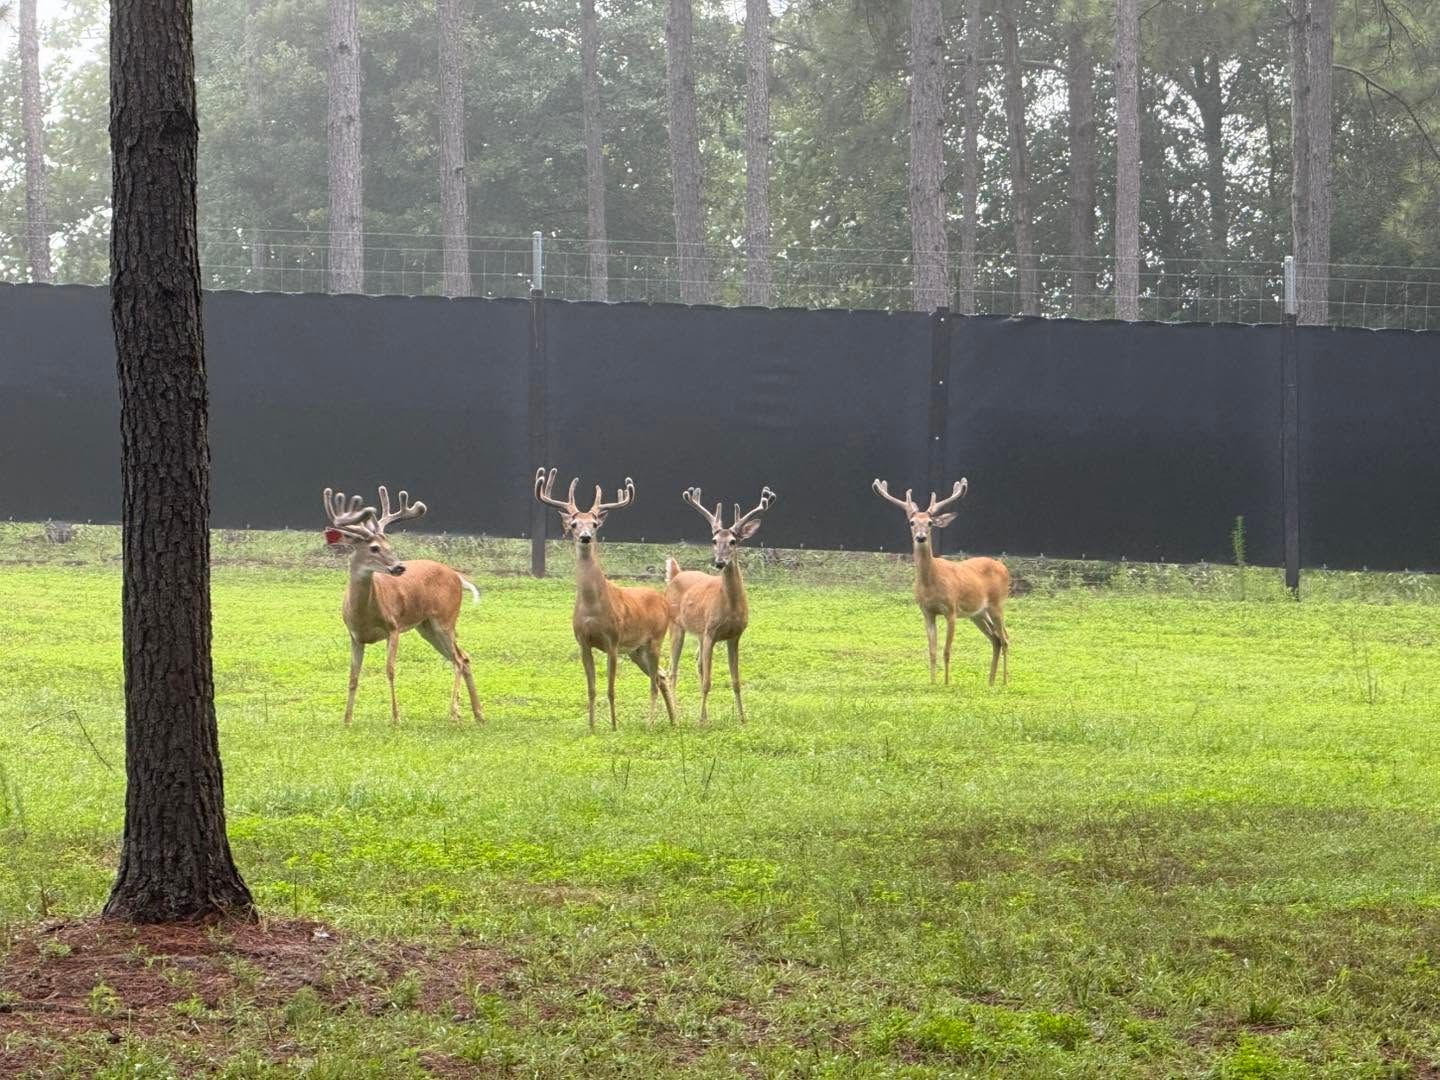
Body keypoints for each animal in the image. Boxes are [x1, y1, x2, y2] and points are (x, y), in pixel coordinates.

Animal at [323, 485, 484, 726]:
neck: (364, 613)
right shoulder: (355, 636)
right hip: (426, 627)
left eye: (390, 545)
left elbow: (390, 669)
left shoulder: (394, 627)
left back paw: (454, 713)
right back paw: (479, 714)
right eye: (374, 548)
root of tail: (457, 576)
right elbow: (353, 676)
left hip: (445, 619)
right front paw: (347, 720)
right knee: (463, 657)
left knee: (457, 660)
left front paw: (396, 718)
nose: (399, 567)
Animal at [534, 468, 678, 731]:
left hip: (656, 638)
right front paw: (591, 726)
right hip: (636, 650)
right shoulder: (583, 641)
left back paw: (651, 722)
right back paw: (674, 720)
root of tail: (662, 598)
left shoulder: (613, 640)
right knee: (661, 676)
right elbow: (591, 688)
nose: (585, 537)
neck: (593, 607)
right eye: (574, 524)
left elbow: (611, 689)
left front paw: (613, 726)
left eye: (594, 524)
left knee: (654, 681)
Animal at [664, 486, 776, 724]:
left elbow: (736, 681)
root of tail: (676, 574)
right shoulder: (711, 633)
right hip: (676, 625)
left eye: (733, 541)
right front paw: (700, 721)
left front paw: (742, 719)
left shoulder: (735, 636)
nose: (719, 562)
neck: (730, 608)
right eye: (714, 540)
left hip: (698, 632)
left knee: (697, 664)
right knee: (672, 670)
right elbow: (708, 681)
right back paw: (677, 714)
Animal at [872, 478, 1010, 686]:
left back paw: (1004, 681)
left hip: (997, 604)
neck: (931, 584)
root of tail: (1004, 567)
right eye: (912, 522)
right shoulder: (927, 612)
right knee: (995, 639)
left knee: (1005, 639)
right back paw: (991, 682)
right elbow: (932, 651)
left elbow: (946, 651)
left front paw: (946, 684)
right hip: (977, 614)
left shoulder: (951, 610)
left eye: (930, 523)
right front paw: (932, 682)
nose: (920, 537)